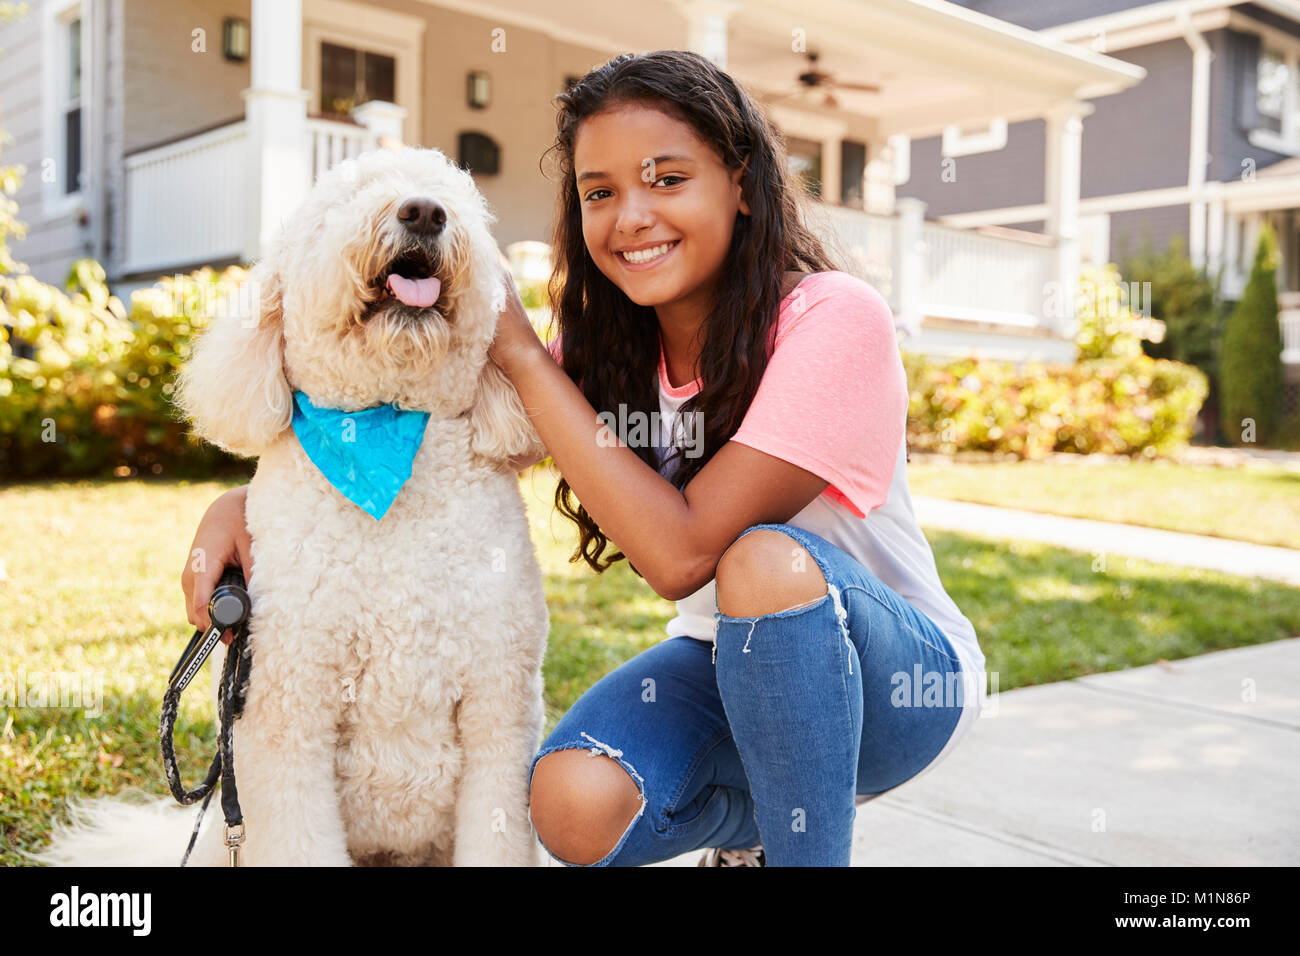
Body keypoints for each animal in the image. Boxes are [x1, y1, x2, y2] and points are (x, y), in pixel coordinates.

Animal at [30, 143, 548, 868]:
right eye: (350, 196)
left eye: (458, 200)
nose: (423, 212)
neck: (385, 433)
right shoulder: (285, 717)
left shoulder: (499, 717)